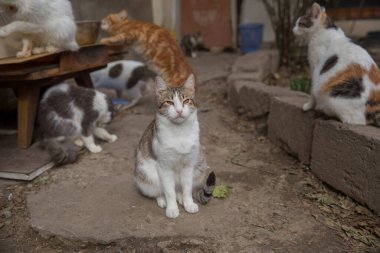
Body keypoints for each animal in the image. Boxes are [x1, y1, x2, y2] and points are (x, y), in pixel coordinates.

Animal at [135, 74, 215, 218]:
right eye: (169, 102)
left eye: (186, 101)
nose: (179, 110)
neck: (180, 132)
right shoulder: (164, 166)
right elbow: (169, 191)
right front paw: (172, 208)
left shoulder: (189, 165)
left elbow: (187, 188)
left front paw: (189, 203)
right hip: (146, 175)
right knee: (160, 191)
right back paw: (163, 200)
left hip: (199, 168)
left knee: (179, 189)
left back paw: (181, 197)